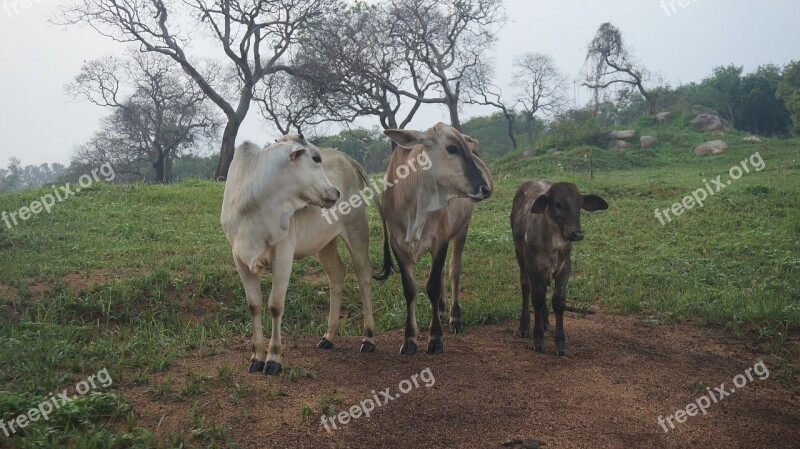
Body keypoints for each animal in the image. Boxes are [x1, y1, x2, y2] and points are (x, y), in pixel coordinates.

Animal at [220, 136, 390, 374]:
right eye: (315, 158)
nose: (335, 192)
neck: (255, 202)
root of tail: (346, 158)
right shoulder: (240, 258)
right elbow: (254, 305)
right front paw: (256, 357)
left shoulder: (283, 255)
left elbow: (275, 305)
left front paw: (273, 357)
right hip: (325, 243)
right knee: (336, 275)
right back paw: (328, 337)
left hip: (357, 231)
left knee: (364, 276)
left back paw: (368, 338)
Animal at [382, 122, 494, 354]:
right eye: (452, 148)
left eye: (468, 149)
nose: (485, 188)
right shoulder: (398, 246)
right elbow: (410, 290)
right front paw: (409, 338)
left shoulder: (440, 241)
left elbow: (432, 286)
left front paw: (435, 338)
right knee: (442, 272)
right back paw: (442, 307)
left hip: (461, 230)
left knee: (453, 271)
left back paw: (454, 317)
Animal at [512, 180, 608, 356]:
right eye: (557, 204)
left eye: (580, 203)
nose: (577, 234)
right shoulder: (532, 266)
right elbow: (537, 299)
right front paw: (538, 338)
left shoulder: (565, 268)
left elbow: (558, 301)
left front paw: (561, 343)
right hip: (519, 254)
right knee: (526, 287)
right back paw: (524, 326)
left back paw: (545, 322)